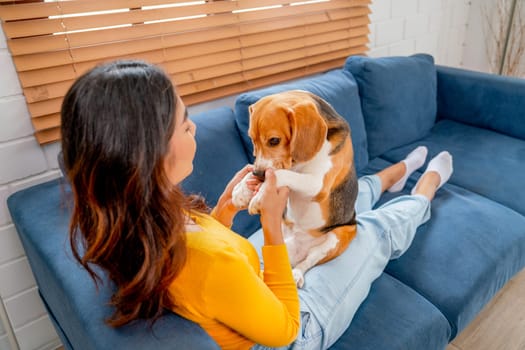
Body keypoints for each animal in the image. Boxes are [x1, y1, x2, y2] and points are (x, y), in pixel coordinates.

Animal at [231, 89, 358, 288]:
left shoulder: (317, 184)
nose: (259, 174)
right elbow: (255, 171)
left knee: (307, 262)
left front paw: (259, 196)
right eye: (252, 139)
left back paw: (297, 274)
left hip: (335, 240)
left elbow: (281, 175)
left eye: (274, 141)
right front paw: (241, 190)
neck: (297, 161)